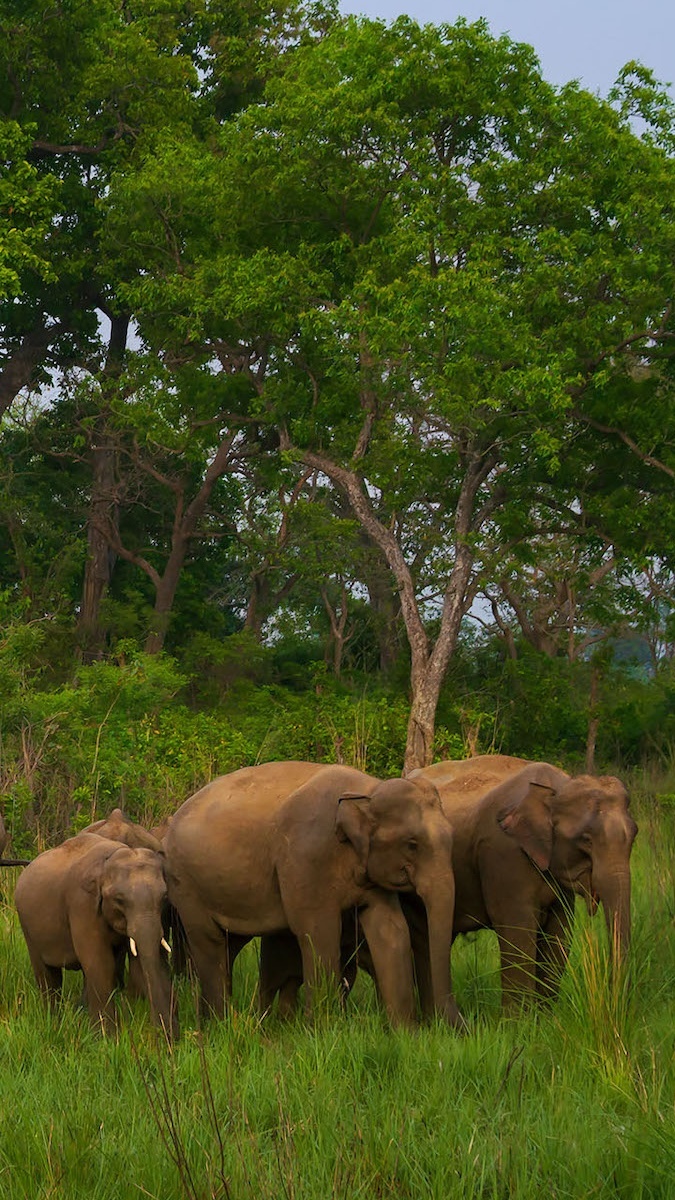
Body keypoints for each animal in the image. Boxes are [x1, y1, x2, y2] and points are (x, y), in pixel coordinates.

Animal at [14, 830, 176, 1036]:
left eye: (164, 897)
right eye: (119, 900)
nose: (164, 1036)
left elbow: (138, 960)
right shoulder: (81, 904)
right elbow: (100, 962)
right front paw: (106, 1037)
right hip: (27, 926)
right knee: (47, 975)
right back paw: (53, 1019)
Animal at [162, 763, 461, 1027]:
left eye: (451, 837)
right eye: (412, 844)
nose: (449, 1026)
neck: (367, 791)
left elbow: (390, 929)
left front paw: (404, 1033)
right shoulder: (305, 858)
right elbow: (319, 932)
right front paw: (323, 1030)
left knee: (228, 946)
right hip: (186, 885)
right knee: (209, 941)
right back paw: (220, 1023)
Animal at [410, 758, 634, 1003]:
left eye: (634, 835)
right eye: (586, 840)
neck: (557, 786)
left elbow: (560, 934)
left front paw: (545, 1012)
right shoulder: (503, 855)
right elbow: (518, 933)